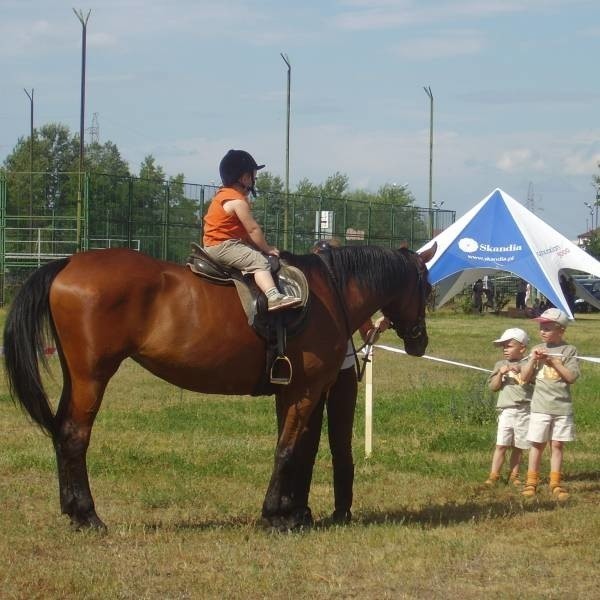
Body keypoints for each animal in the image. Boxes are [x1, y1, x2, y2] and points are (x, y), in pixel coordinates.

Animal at [4, 244, 436, 528]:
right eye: (428, 290)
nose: (420, 342)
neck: (328, 292)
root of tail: (68, 262)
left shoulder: (291, 391)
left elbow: (297, 450)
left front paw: (292, 512)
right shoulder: (305, 391)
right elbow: (288, 450)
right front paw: (275, 515)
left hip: (76, 377)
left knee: (61, 433)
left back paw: (72, 509)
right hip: (93, 377)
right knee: (74, 436)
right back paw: (88, 515)